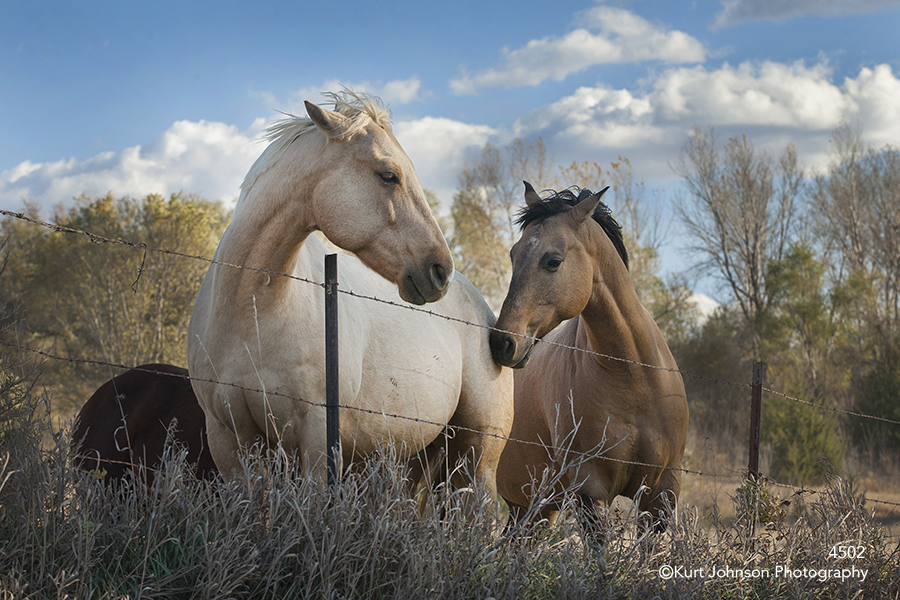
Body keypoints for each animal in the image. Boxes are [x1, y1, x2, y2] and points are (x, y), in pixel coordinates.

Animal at [188, 90, 512, 502]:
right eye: (388, 174)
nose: (440, 271)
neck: (252, 313)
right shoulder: (228, 441)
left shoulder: (316, 437)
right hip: (416, 459)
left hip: (477, 457)